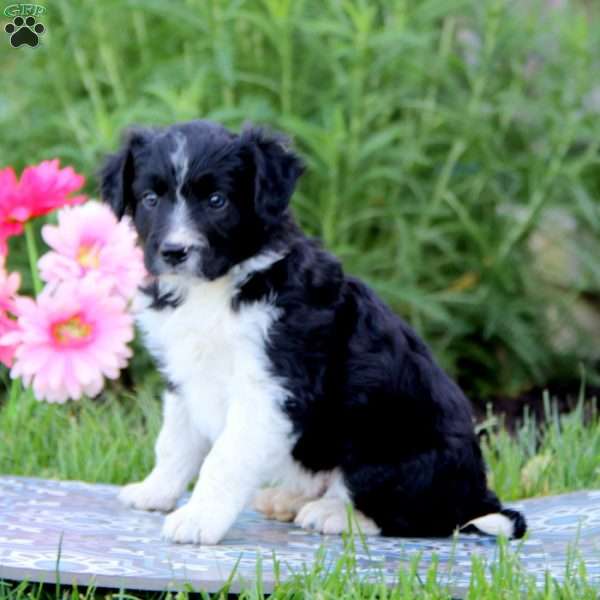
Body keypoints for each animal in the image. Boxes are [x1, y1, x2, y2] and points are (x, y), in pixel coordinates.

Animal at [102, 120, 524, 544]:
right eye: (150, 199)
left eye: (217, 201)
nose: (174, 252)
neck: (218, 287)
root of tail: (479, 497)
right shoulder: (185, 375)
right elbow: (174, 441)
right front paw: (155, 492)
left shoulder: (270, 387)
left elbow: (225, 457)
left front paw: (199, 518)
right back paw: (288, 499)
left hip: (391, 446)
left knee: (415, 515)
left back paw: (336, 515)